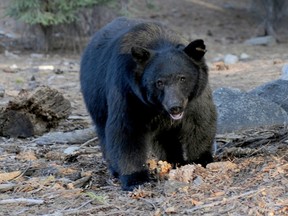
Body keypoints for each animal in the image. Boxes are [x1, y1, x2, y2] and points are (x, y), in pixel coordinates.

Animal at [80, 17, 217, 191]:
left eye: (182, 78)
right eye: (159, 82)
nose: (175, 107)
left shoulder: (195, 97)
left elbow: (200, 122)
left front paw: (201, 160)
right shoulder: (128, 92)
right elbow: (126, 130)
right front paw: (136, 178)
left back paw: (174, 160)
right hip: (96, 97)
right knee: (103, 130)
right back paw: (115, 169)